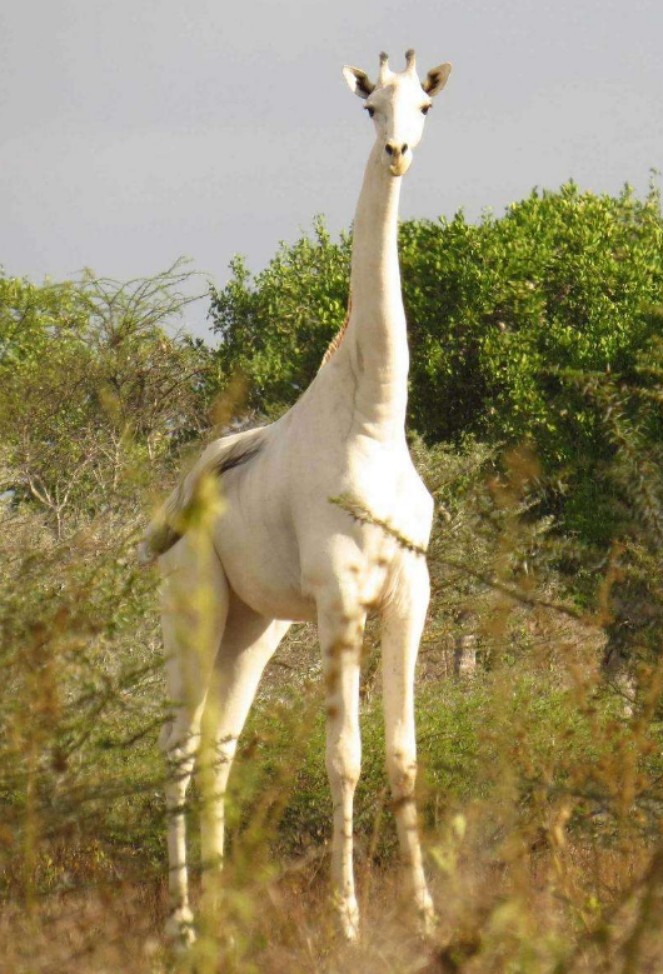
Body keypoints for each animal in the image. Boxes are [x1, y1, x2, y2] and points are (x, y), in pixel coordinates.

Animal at [143, 51, 454, 944]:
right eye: (369, 104)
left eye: (425, 106)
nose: (397, 152)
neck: (374, 421)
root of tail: (170, 505)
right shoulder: (340, 596)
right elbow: (342, 756)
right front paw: (347, 918)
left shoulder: (410, 590)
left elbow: (403, 753)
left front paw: (425, 914)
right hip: (195, 605)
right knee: (178, 747)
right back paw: (181, 921)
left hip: (254, 626)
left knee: (221, 744)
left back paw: (220, 912)